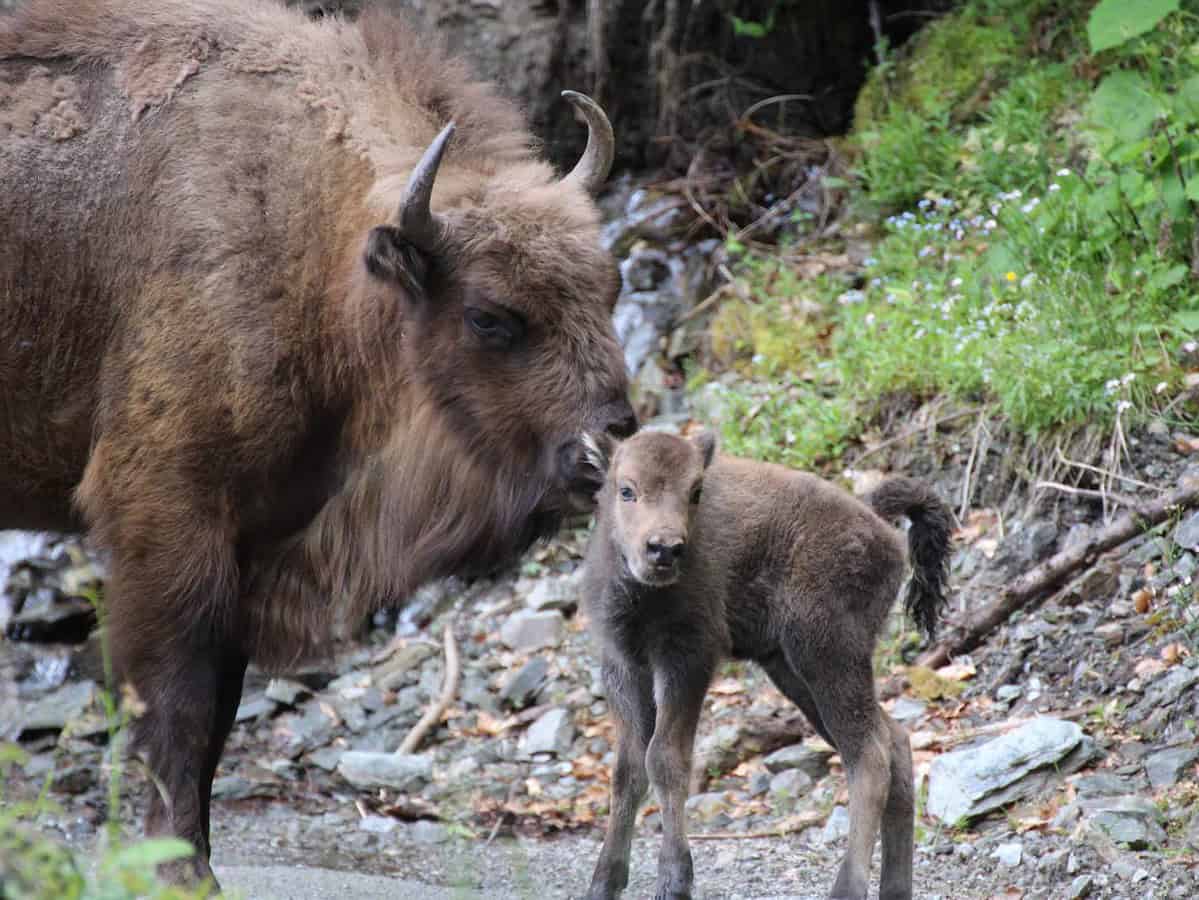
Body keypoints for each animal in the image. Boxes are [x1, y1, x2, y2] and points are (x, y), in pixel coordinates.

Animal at [0, 0, 637, 886]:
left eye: (610, 285)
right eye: (489, 317)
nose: (610, 442)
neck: (316, 244)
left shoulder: (251, 542)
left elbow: (216, 717)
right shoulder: (170, 523)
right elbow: (176, 704)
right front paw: (179, 873)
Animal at [575, 429, 949, 900]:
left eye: (695, 491)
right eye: (626, 490)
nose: (665, 549)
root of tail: (877, 522)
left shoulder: (687, 660)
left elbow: (664, 758)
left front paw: (675, 880)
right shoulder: (622, 666)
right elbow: (627, 769)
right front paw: (603, 882)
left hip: (827, 656)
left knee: (870, 757)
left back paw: (846, 888)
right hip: (793, 671)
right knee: (894, 741)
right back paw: (895, 890)